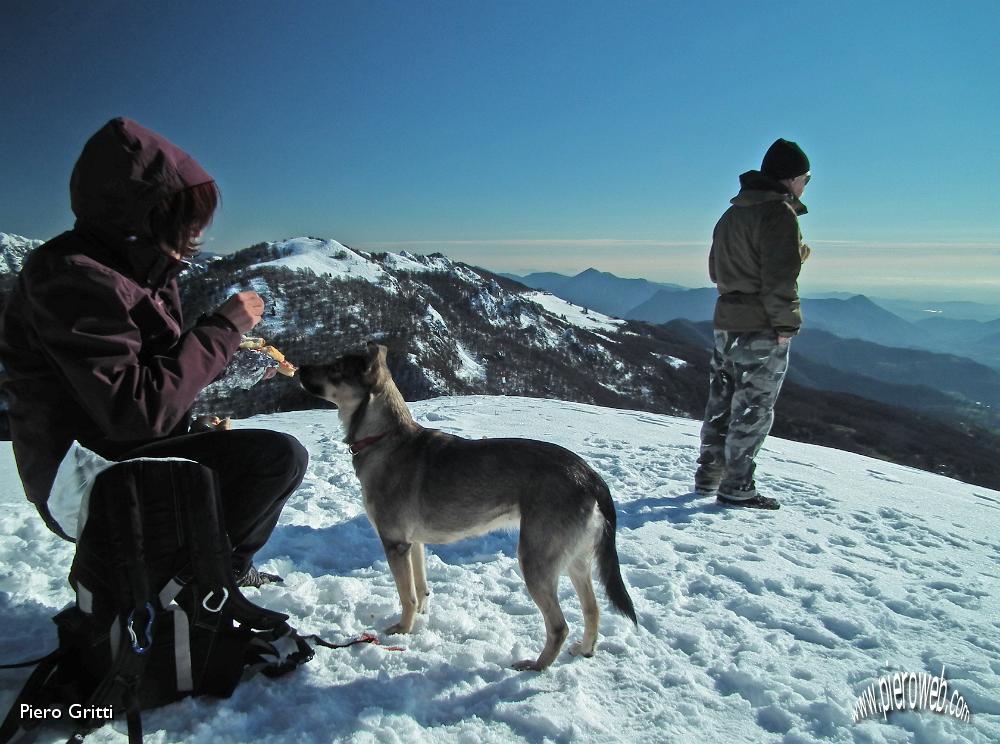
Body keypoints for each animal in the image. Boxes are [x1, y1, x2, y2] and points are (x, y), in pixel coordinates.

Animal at [300, 346, 636, 672]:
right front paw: (421, 615)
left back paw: (535, 666)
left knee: (559, 626)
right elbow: (420, 589)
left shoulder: (394, 543)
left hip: (536, 560)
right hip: (575, 560)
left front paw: (403, 630)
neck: (384, 438)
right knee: (592, 609)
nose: (300, 367)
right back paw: (584, 649)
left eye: (335, 368)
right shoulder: (414, 543)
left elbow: (406, 596)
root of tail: (590, 476)